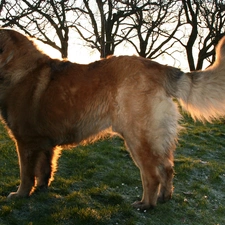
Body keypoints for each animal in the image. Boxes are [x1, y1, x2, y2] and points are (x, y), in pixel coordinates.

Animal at [0, 29, 225, 210]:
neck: (17, 67)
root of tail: (160, 68)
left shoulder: (26, 142)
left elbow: (26, 173)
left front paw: (20, 195)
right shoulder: (44, 143)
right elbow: (44, 170)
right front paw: (41, 190)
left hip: (138, 139)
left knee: (151, 174)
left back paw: (146, 205)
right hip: (153, 139)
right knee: (166, 167)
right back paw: (163, 197)